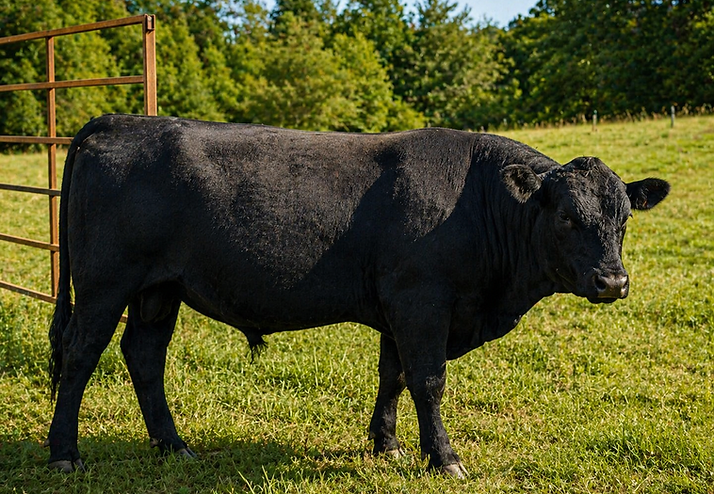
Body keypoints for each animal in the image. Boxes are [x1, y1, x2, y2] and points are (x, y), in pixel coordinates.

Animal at [45, 114, 669, 477]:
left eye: (623, 219)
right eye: (565, 217)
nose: (613, 282)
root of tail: (122, 121)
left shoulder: (400, 308)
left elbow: (393, 375)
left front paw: (386, 444)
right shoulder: (422, 302)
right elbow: (428, 380)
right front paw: (444, 459)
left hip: (159, 289)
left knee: (144, 355)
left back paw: (173, 446)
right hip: (104, 286)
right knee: (79, 356)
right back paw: (64, 453)